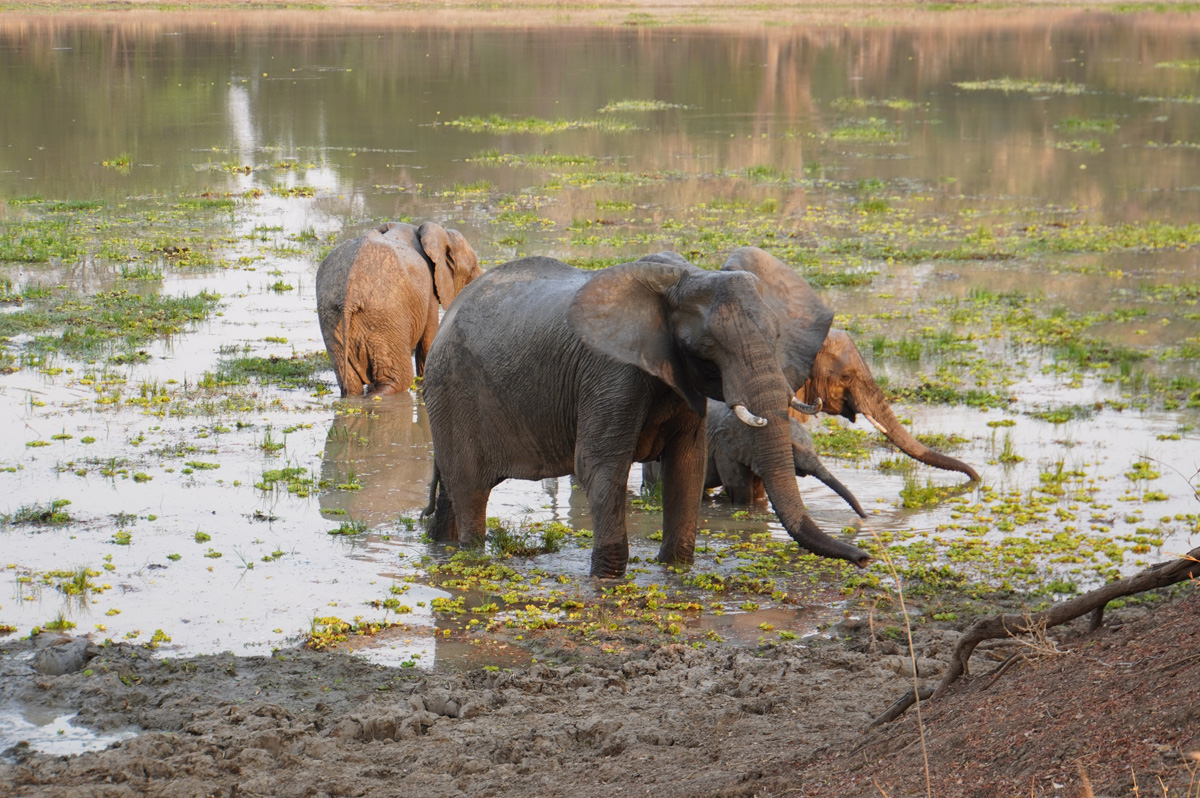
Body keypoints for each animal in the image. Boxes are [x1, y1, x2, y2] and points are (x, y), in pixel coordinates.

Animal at [315, 221, 482, 397]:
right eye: (472, 268)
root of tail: (349, 292)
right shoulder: (429, 291)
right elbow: (428, 338)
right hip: (386, 316)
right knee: (397, 382)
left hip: (331, 318)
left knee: (351, 384)